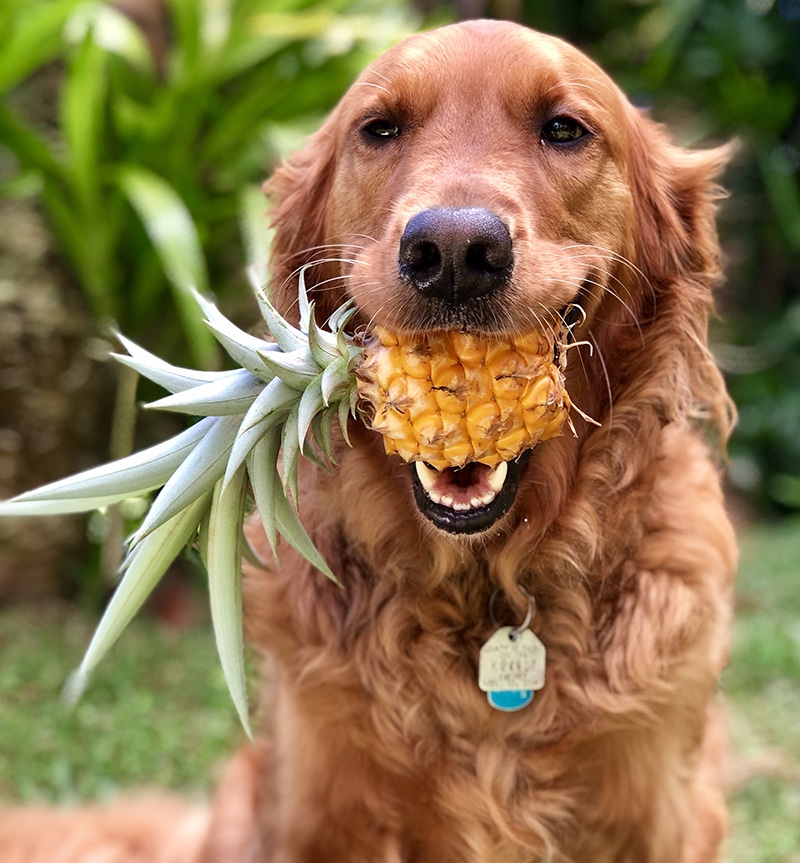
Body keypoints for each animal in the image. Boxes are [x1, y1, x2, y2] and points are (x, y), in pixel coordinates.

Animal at [0, 18, 736, 863]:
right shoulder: (321, 811)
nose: (454, 252)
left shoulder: (656, 816)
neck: (488, 589)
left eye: (564, 129)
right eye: (380, 128)